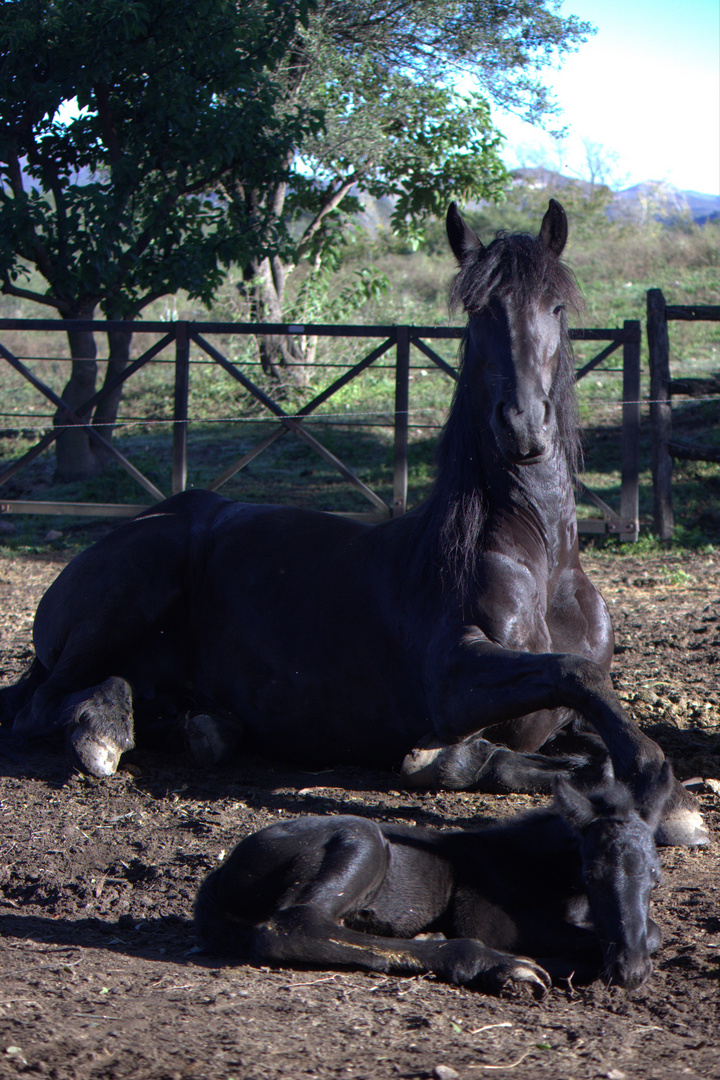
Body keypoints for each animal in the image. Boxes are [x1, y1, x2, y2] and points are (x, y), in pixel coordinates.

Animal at [0, 198, 708, 846]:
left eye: (556, 308)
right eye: (478, 311)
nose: (523, 427)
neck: (541, 558)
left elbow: (591, 713)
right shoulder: (453, 675)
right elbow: (564, 684)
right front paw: (663, 795)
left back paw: (200, 726)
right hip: (138, 579)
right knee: (41, 702)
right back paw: (102, 732)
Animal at [193, 764, 677, 989]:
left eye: (655, 879)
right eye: (591, 873)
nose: (631, 971)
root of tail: (218, 879)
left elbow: (650, 930)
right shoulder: (488, 918)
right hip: (362, 837)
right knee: (292, 926)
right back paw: (500, 965)